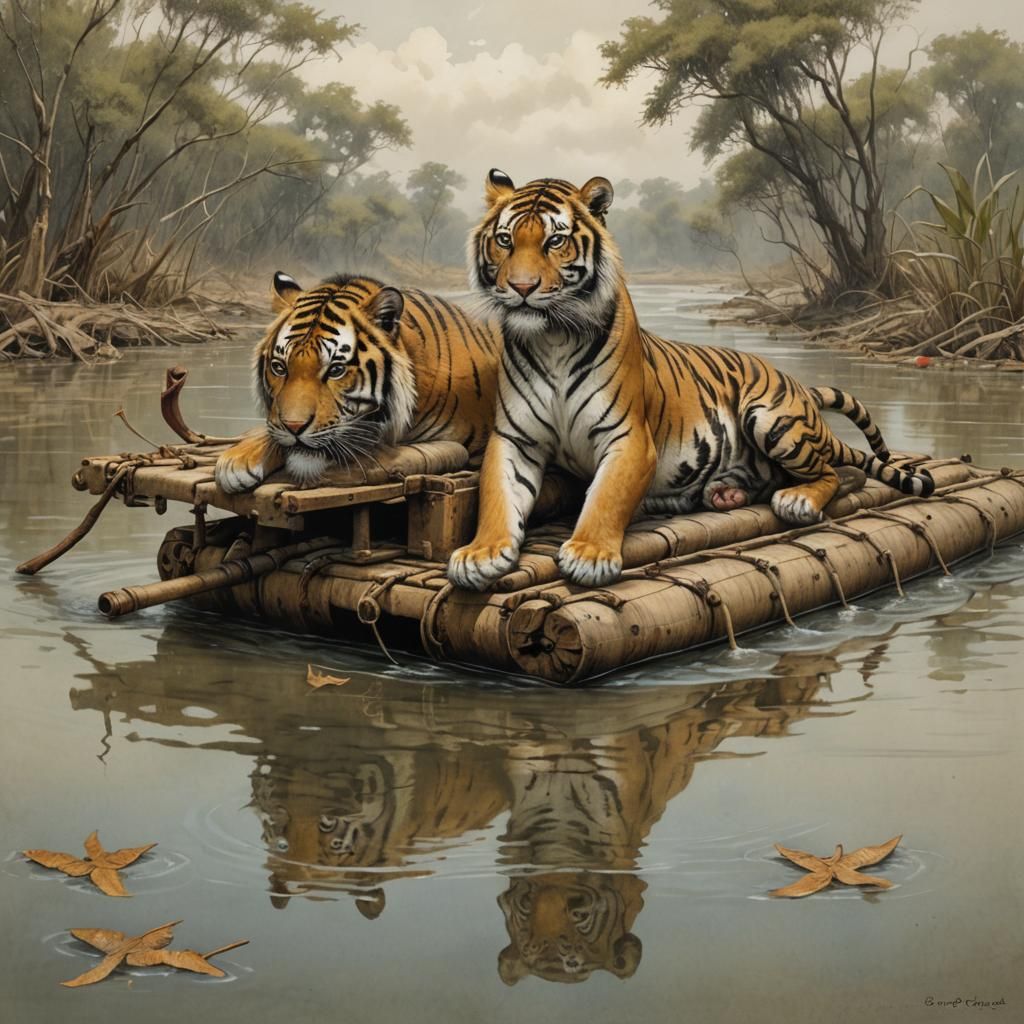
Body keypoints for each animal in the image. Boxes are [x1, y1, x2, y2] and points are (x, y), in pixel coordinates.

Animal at [448, 170, 935, 590]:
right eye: (505, 241)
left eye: (555, 241)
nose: (522, 288)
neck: (552, 337)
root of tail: (799, 387)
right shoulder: (516, 438)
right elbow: (497, 497)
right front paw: (480, 554)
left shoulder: (628, 437)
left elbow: (604, 499)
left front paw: (589, 554)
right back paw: (724, 496)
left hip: (770, 418)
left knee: (836, 471)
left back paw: (797, 500)